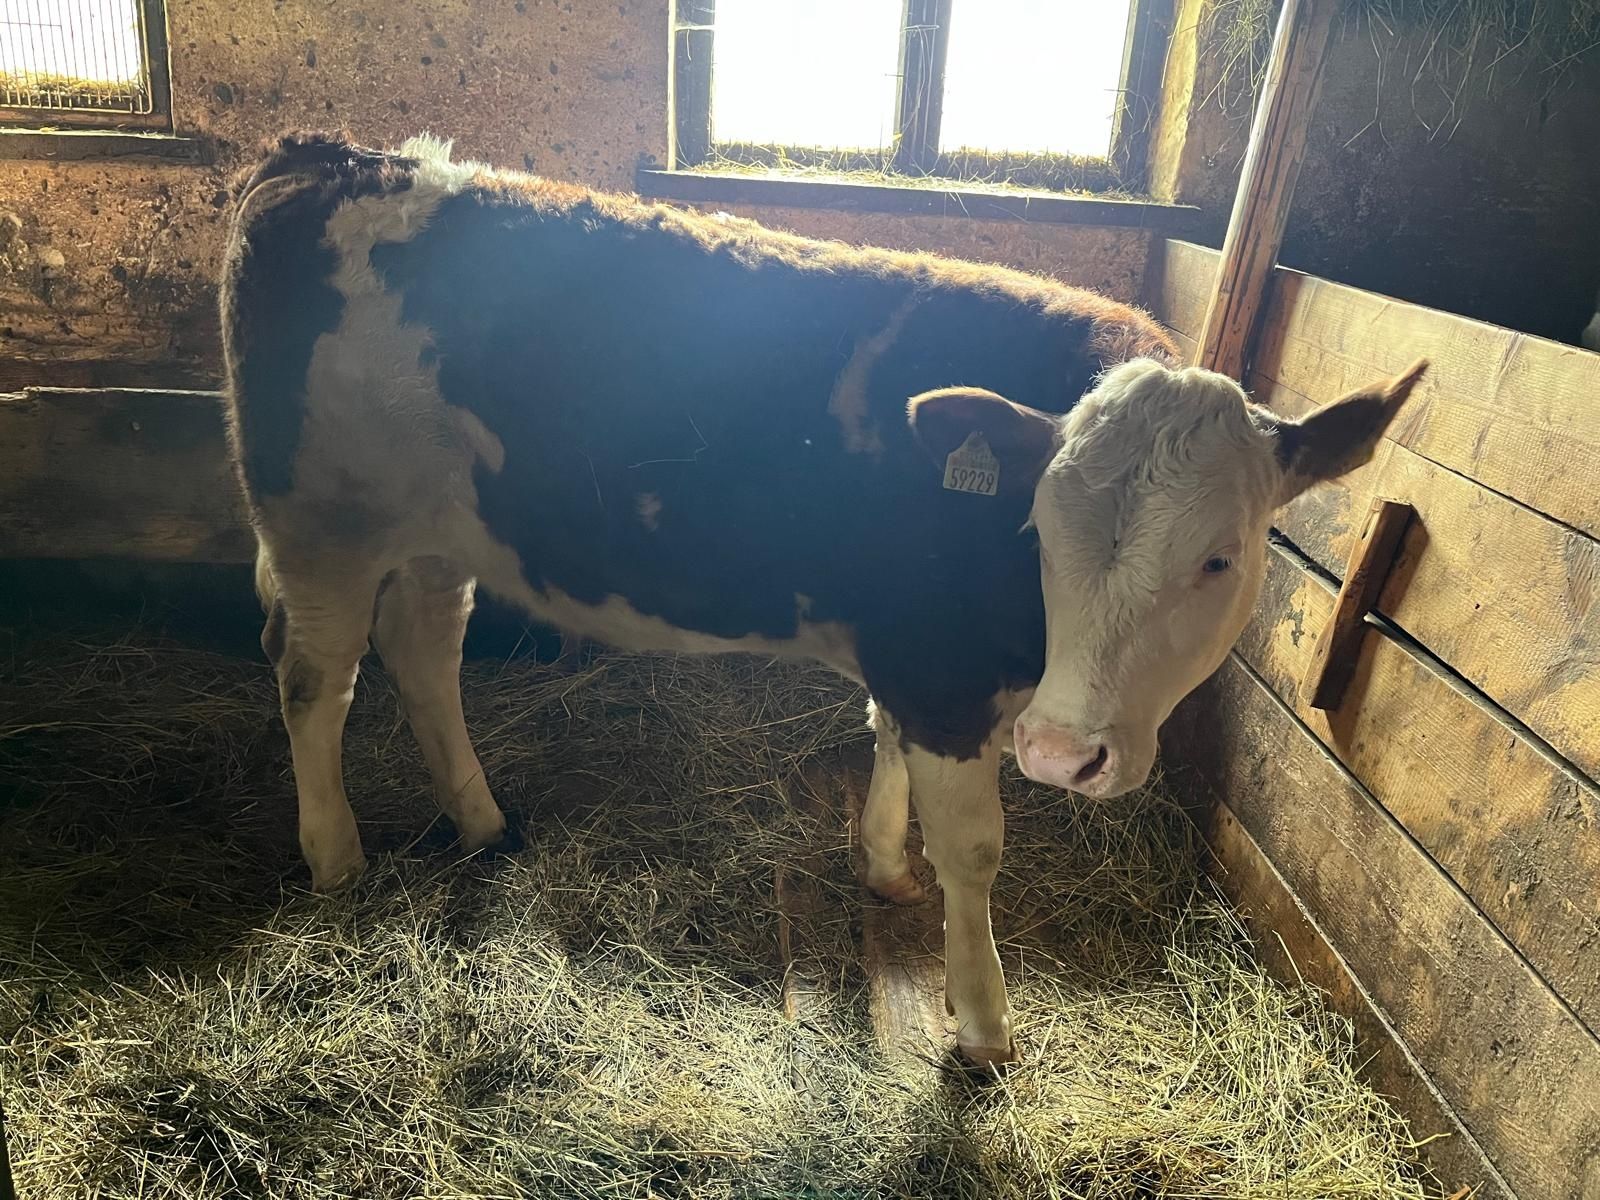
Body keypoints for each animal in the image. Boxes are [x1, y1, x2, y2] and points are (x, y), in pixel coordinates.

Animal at [222, 133, 1427, 1068]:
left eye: (1219, 559)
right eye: (1041, 532)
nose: (1061, 753)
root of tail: (334, 158)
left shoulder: (913, 658)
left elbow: (882, 742)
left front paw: (884, 869)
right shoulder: (940, 669)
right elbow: (975, 849)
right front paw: (982, 1027)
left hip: (437, 533)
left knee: (425, 649)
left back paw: (481, 821)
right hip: (322, 523)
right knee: (317, 679)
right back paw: (336, 857)